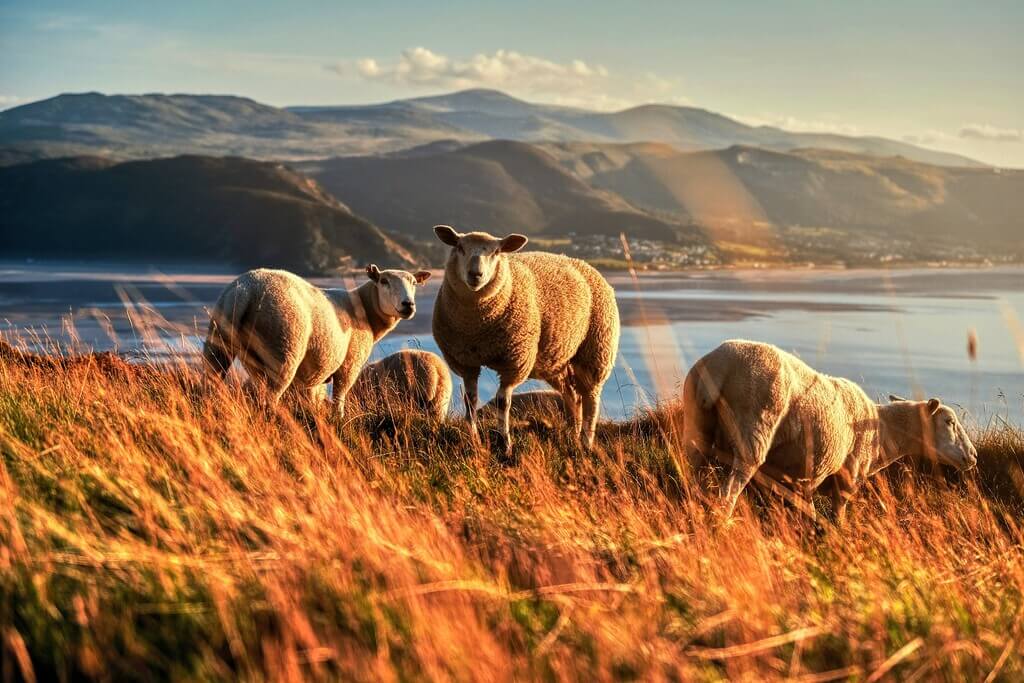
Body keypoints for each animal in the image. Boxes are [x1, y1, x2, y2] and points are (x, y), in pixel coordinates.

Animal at [202, 265, 431, 417]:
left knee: (212, 381)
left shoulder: (310, 378)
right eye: (384, 281)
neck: (364, 310)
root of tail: (246, 289)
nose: (408, 305)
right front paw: (339, 421)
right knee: (270, 398)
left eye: (414, 283)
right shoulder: (350, 364)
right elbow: (339, 397)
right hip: (284, 346)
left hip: (218, 341)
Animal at [431, 225, 620, 453]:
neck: (477, 326)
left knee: (591, 399)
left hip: (597, 351)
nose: (475, 274)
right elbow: (471, 401)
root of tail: (585, 264)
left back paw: (585, 442)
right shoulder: (466, 362)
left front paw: (505, 443)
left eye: (496, 252)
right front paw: (473, 440)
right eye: (459, 247)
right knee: (572, 396)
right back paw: (573, 435)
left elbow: (503, 402)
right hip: (555, 360)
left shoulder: (514, 362)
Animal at [682, 340, 977, 520]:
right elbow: (837, 518)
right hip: (754, 428)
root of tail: (719, 365)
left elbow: (806, 512)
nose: (973, 456)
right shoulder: (846, 478)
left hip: (697, 425)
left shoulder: (795, 480)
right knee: (729, 492)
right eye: (949, 421)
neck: (882, 431)